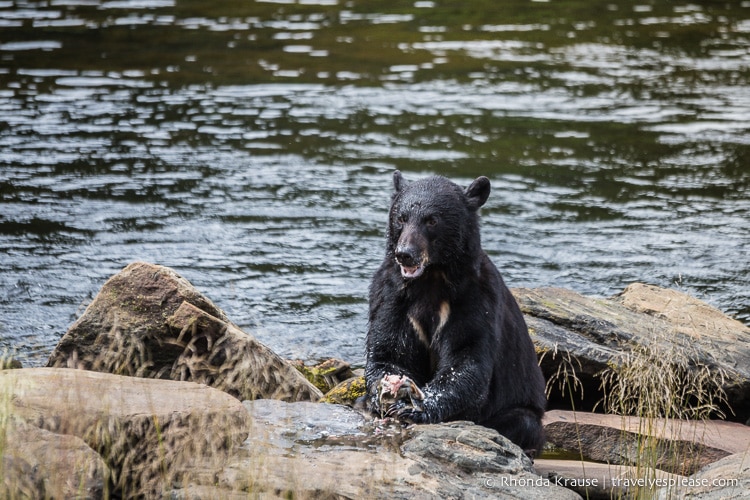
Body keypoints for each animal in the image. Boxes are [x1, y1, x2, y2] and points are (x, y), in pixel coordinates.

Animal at [366, 170, 548, 456]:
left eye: (432, 220)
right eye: (401, 218)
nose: (405, 254)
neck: (430, 280)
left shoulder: (475, 299)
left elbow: (466, 358)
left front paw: (415, 407)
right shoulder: (391, 296)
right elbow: (390, 348)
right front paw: (384, 394)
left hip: (520, 410)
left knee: (522, 423)